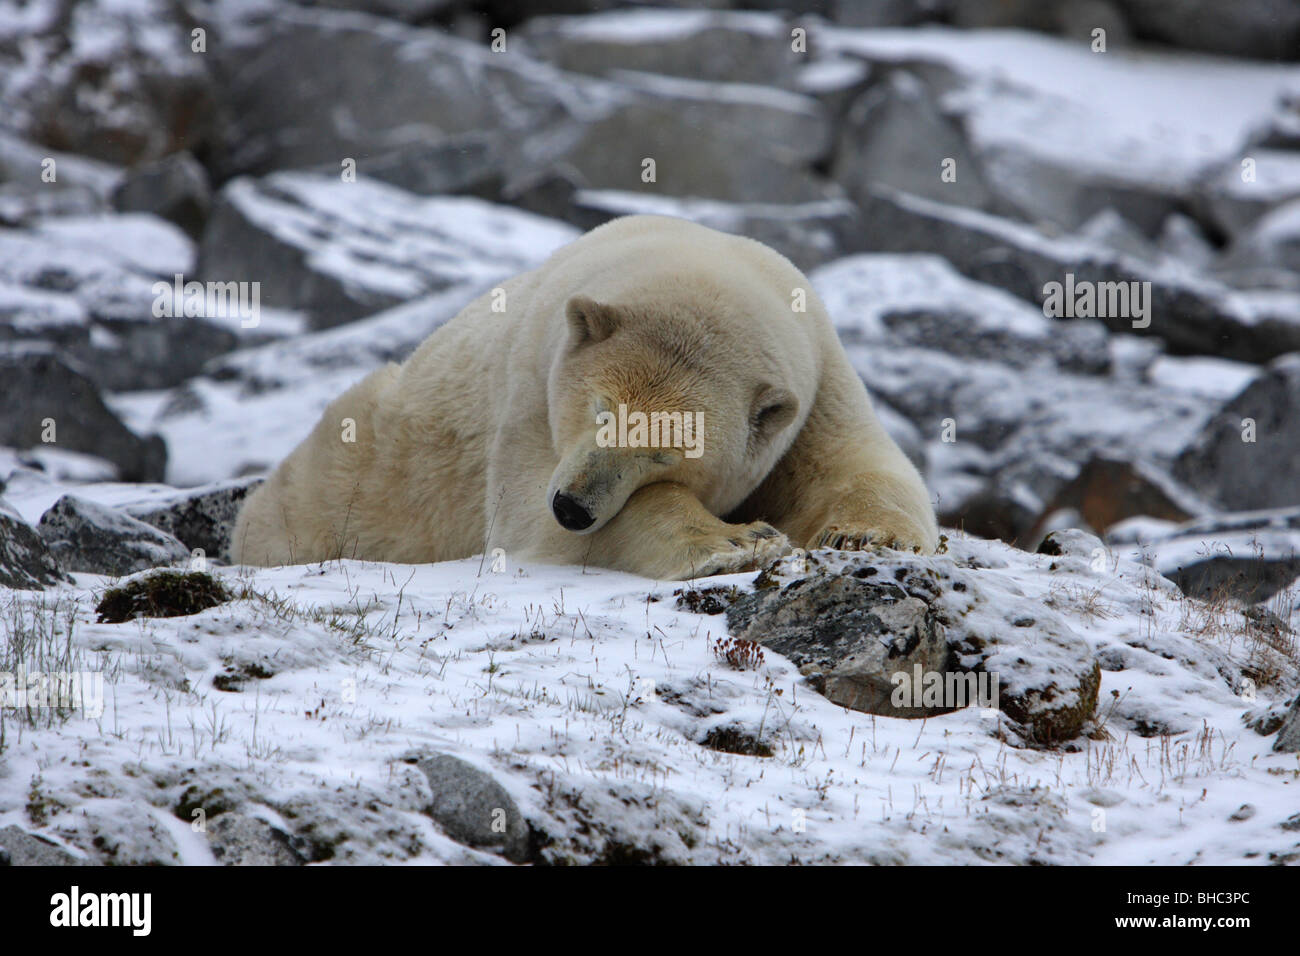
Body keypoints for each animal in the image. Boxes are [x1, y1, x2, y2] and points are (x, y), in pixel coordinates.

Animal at [226, 214, 935, 580]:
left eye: (665, 455)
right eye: (600, 410)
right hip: (358, 466)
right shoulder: (530, 384)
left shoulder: (815, 383)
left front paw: (866, 536)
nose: (573, 505)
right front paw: (738, 542)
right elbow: (527, 523)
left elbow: (857, 464)